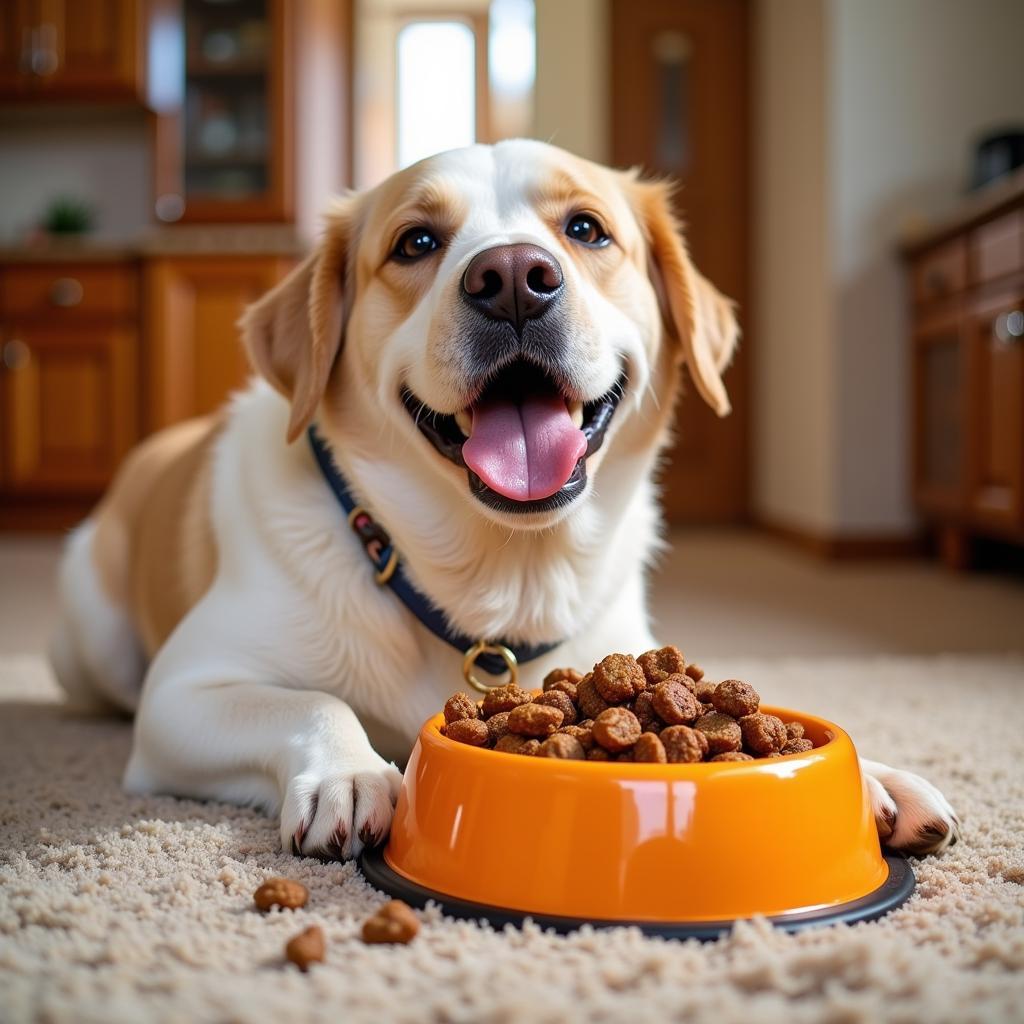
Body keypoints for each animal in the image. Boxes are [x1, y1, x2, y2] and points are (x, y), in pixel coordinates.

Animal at [49, 140, 958, 860]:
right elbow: (314, 699)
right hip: (95, 646)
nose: (514, 278)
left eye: (586, 229)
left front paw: (875, 777)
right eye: (416, 241)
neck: (498, 576)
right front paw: (350, 771)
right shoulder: (183, 695)